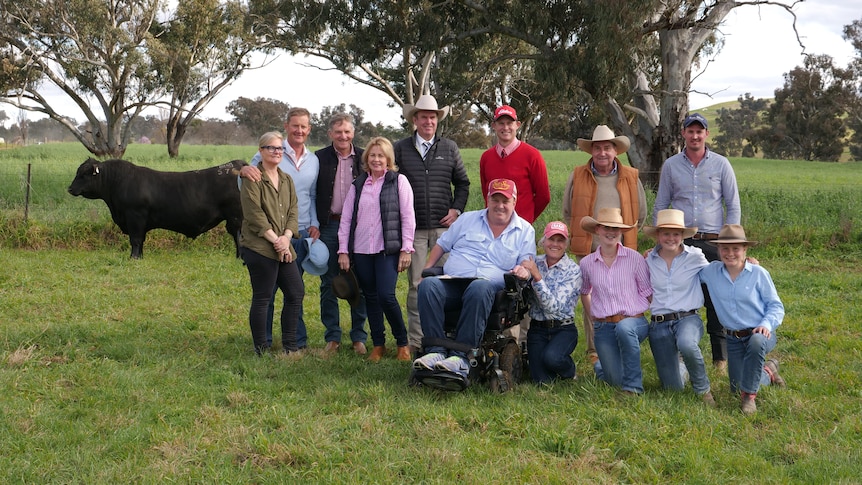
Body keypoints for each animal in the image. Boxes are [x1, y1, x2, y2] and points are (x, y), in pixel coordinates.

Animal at [69, 158, 245, 258]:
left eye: (83, 174)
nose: (70, 189)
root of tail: (238, 166)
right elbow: (141, 240)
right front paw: (140, 257)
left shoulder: (135, 216)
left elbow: (135, 239)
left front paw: (133, 258)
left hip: (236, 218)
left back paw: (240, 257)